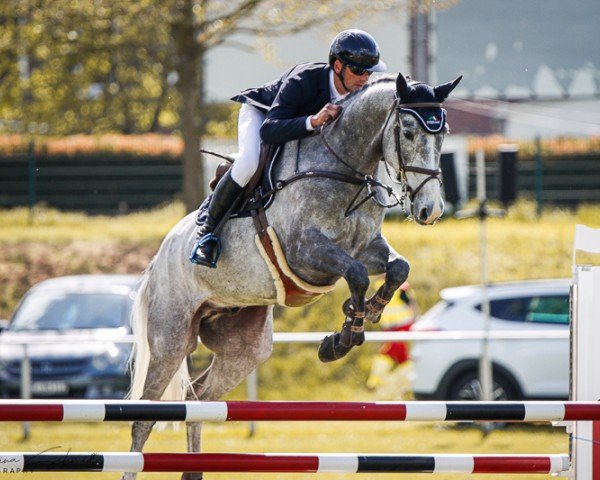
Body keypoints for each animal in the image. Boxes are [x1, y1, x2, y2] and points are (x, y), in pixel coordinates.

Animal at [120, 72, 460, 480]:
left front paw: (366, 315)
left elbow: (397, 268)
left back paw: (194, 470)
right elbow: (357, 275)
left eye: (443, 134)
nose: (430, 210)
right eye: (407, 132)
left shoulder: (367, 247)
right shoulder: (305, 252)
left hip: (245, 347)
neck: (344, 170)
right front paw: (344, 337)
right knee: (144, 416)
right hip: (171, 338)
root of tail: (157, 261)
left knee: (197, 400)